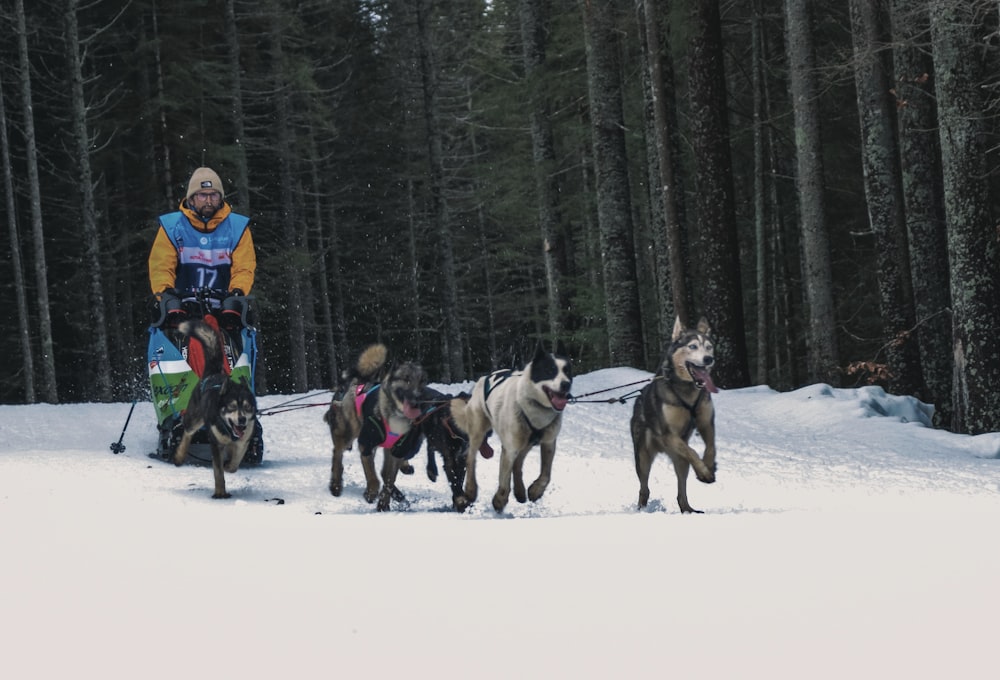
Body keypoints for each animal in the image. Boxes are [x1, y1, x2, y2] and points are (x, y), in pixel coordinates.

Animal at [173, 316, 258, 496]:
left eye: (247, 407)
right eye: (231, 406)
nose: (242, 420)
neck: (229, 431)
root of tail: (212, 373)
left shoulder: (243, 441)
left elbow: (234, 463)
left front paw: (229, 466)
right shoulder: (216, 444)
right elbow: (218, 472)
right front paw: (220, 493)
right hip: (194, 418)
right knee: (187, 432)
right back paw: (179, 455)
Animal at [324, 346, 426, 510]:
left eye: (423, 381)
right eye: (406, 379)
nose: (418, 398)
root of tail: (357, 381)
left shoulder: (396, 450)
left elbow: (389, 478)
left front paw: (384, 502)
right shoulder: (366, 444)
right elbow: (372, 475)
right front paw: (371, 492)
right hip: (347, 433)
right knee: (337, 455)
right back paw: (336, 485)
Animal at [452, 346, 572, 510]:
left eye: (568, 372)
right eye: (549, 370)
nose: (566, 384)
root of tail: (483, 378)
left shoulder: (548, 442)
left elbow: (546, 475)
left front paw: (535, 490)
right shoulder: (510, 448)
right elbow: (504, 478)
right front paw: (500, 500)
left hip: (526, 443)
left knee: (518, 464)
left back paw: (520, 491)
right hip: (478, 432)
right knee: (471, 458)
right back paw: (471, 489)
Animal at [632, 316, 720, 512]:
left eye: (709, 346)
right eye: (693, 346)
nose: (709, 359)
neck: (687, 389)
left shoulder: (706, 423)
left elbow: (710, 447)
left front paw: (709, 467)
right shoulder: (669, 434)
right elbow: (693, 451)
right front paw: (704, 472)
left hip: (680, 462)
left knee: (681, 490)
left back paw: (688, 509)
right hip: (643, 457)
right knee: (644, 488)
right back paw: (642, 508)